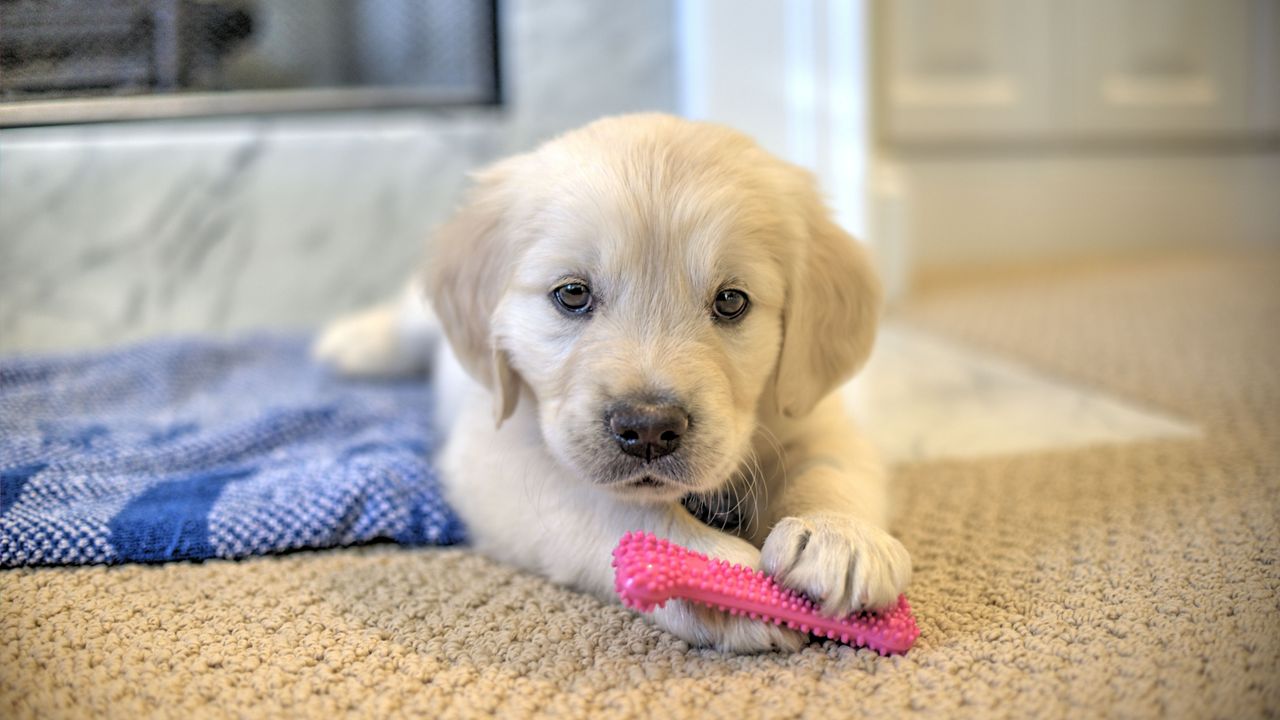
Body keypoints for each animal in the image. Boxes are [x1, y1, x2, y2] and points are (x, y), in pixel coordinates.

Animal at [316, 113, 916, 650]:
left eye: (730, 301)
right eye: (572, 293)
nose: (648, 428)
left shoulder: (805, 409)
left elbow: (831, 465)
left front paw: (841, 540)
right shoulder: (500, 455)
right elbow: (618, 509)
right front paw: (718, 578)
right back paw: (354, 340)